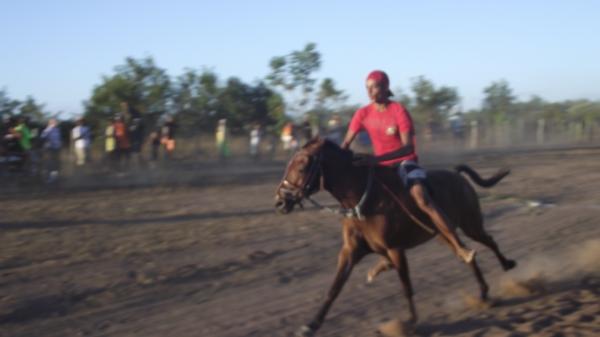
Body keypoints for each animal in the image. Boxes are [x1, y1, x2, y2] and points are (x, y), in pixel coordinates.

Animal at [276, 137, 516, 336]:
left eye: (302, 166)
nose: (279, 201)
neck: (363, 201)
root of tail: (457, 174)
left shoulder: (395, 249)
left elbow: (406, 287)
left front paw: (411, 322)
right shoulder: (350, 251)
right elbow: (334, 289)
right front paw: (310, 325)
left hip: (470, 223)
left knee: (487, 242)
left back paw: (507, 265)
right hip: (443, 235)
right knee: (467, 254)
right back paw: (483, 292)